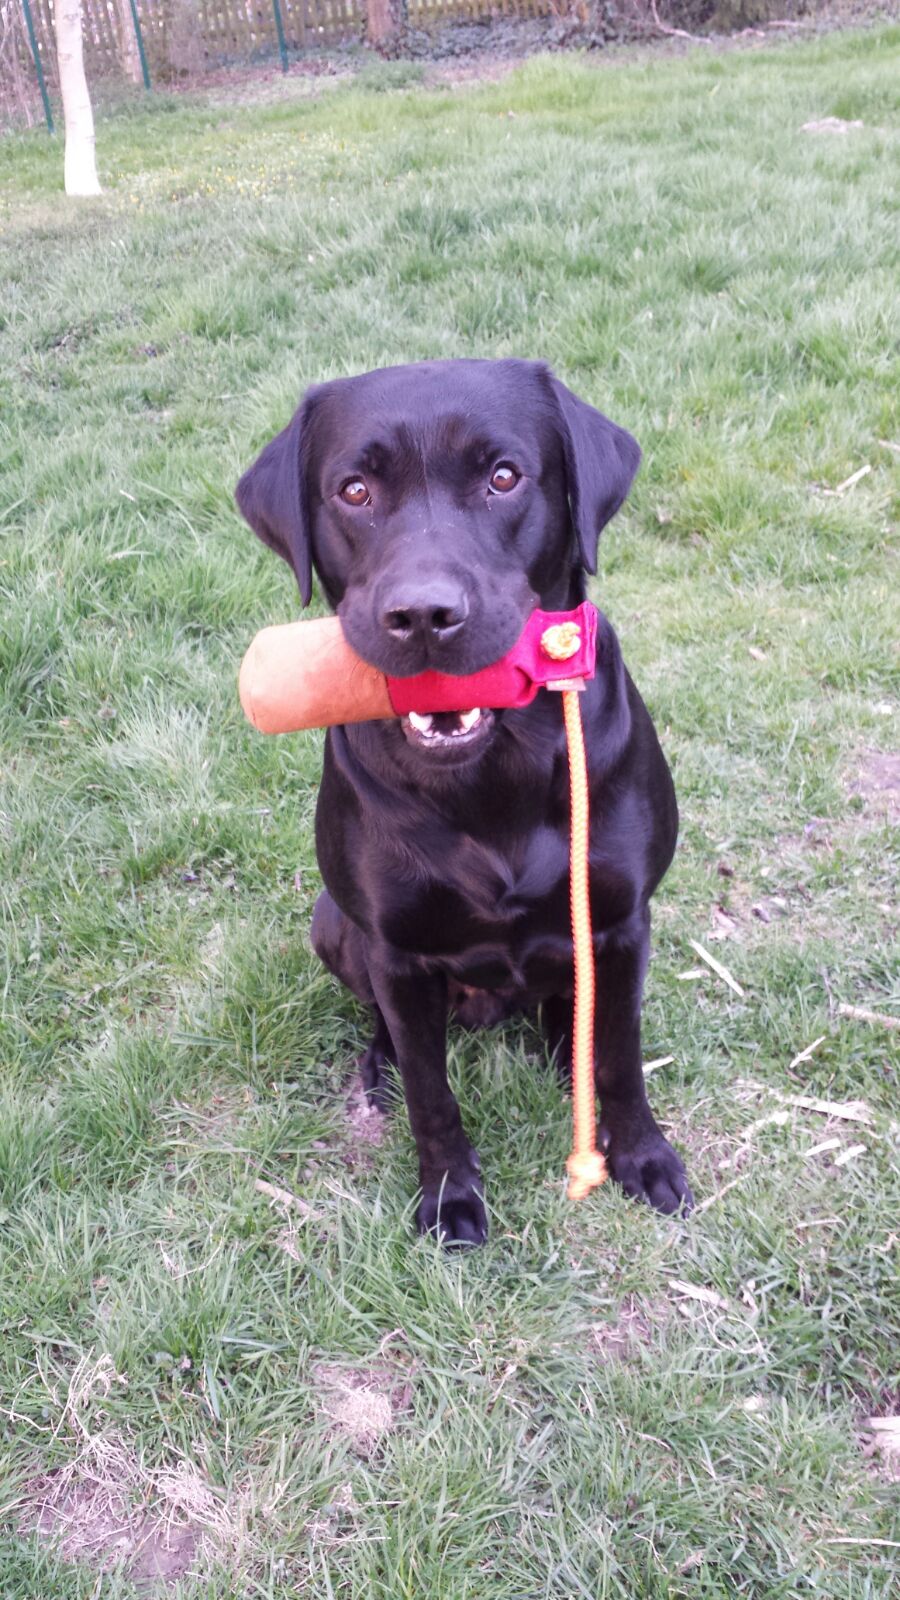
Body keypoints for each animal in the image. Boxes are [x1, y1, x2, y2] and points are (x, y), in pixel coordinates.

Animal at [235, 356, 688, 1241]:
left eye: (503, 477)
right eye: (354, 491)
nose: (423, 614)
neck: (492, 777)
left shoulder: (621, 923)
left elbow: (621, 1059)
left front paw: (642, 1157)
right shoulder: (398, 953)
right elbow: (431, 1095)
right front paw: (450, 1196)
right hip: (334, 925)